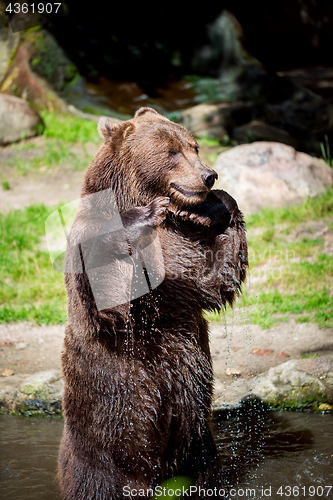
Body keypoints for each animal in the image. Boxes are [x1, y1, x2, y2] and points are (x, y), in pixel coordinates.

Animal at [58, 107, 248, 498]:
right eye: (170, 151)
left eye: (194, 145)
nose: (208, 175)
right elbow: (108, 300)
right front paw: (141, 217)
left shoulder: (184, 253)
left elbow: (215, 281)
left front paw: (217, 205)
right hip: (106, 429)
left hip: (197, 440)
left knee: (202, 465)